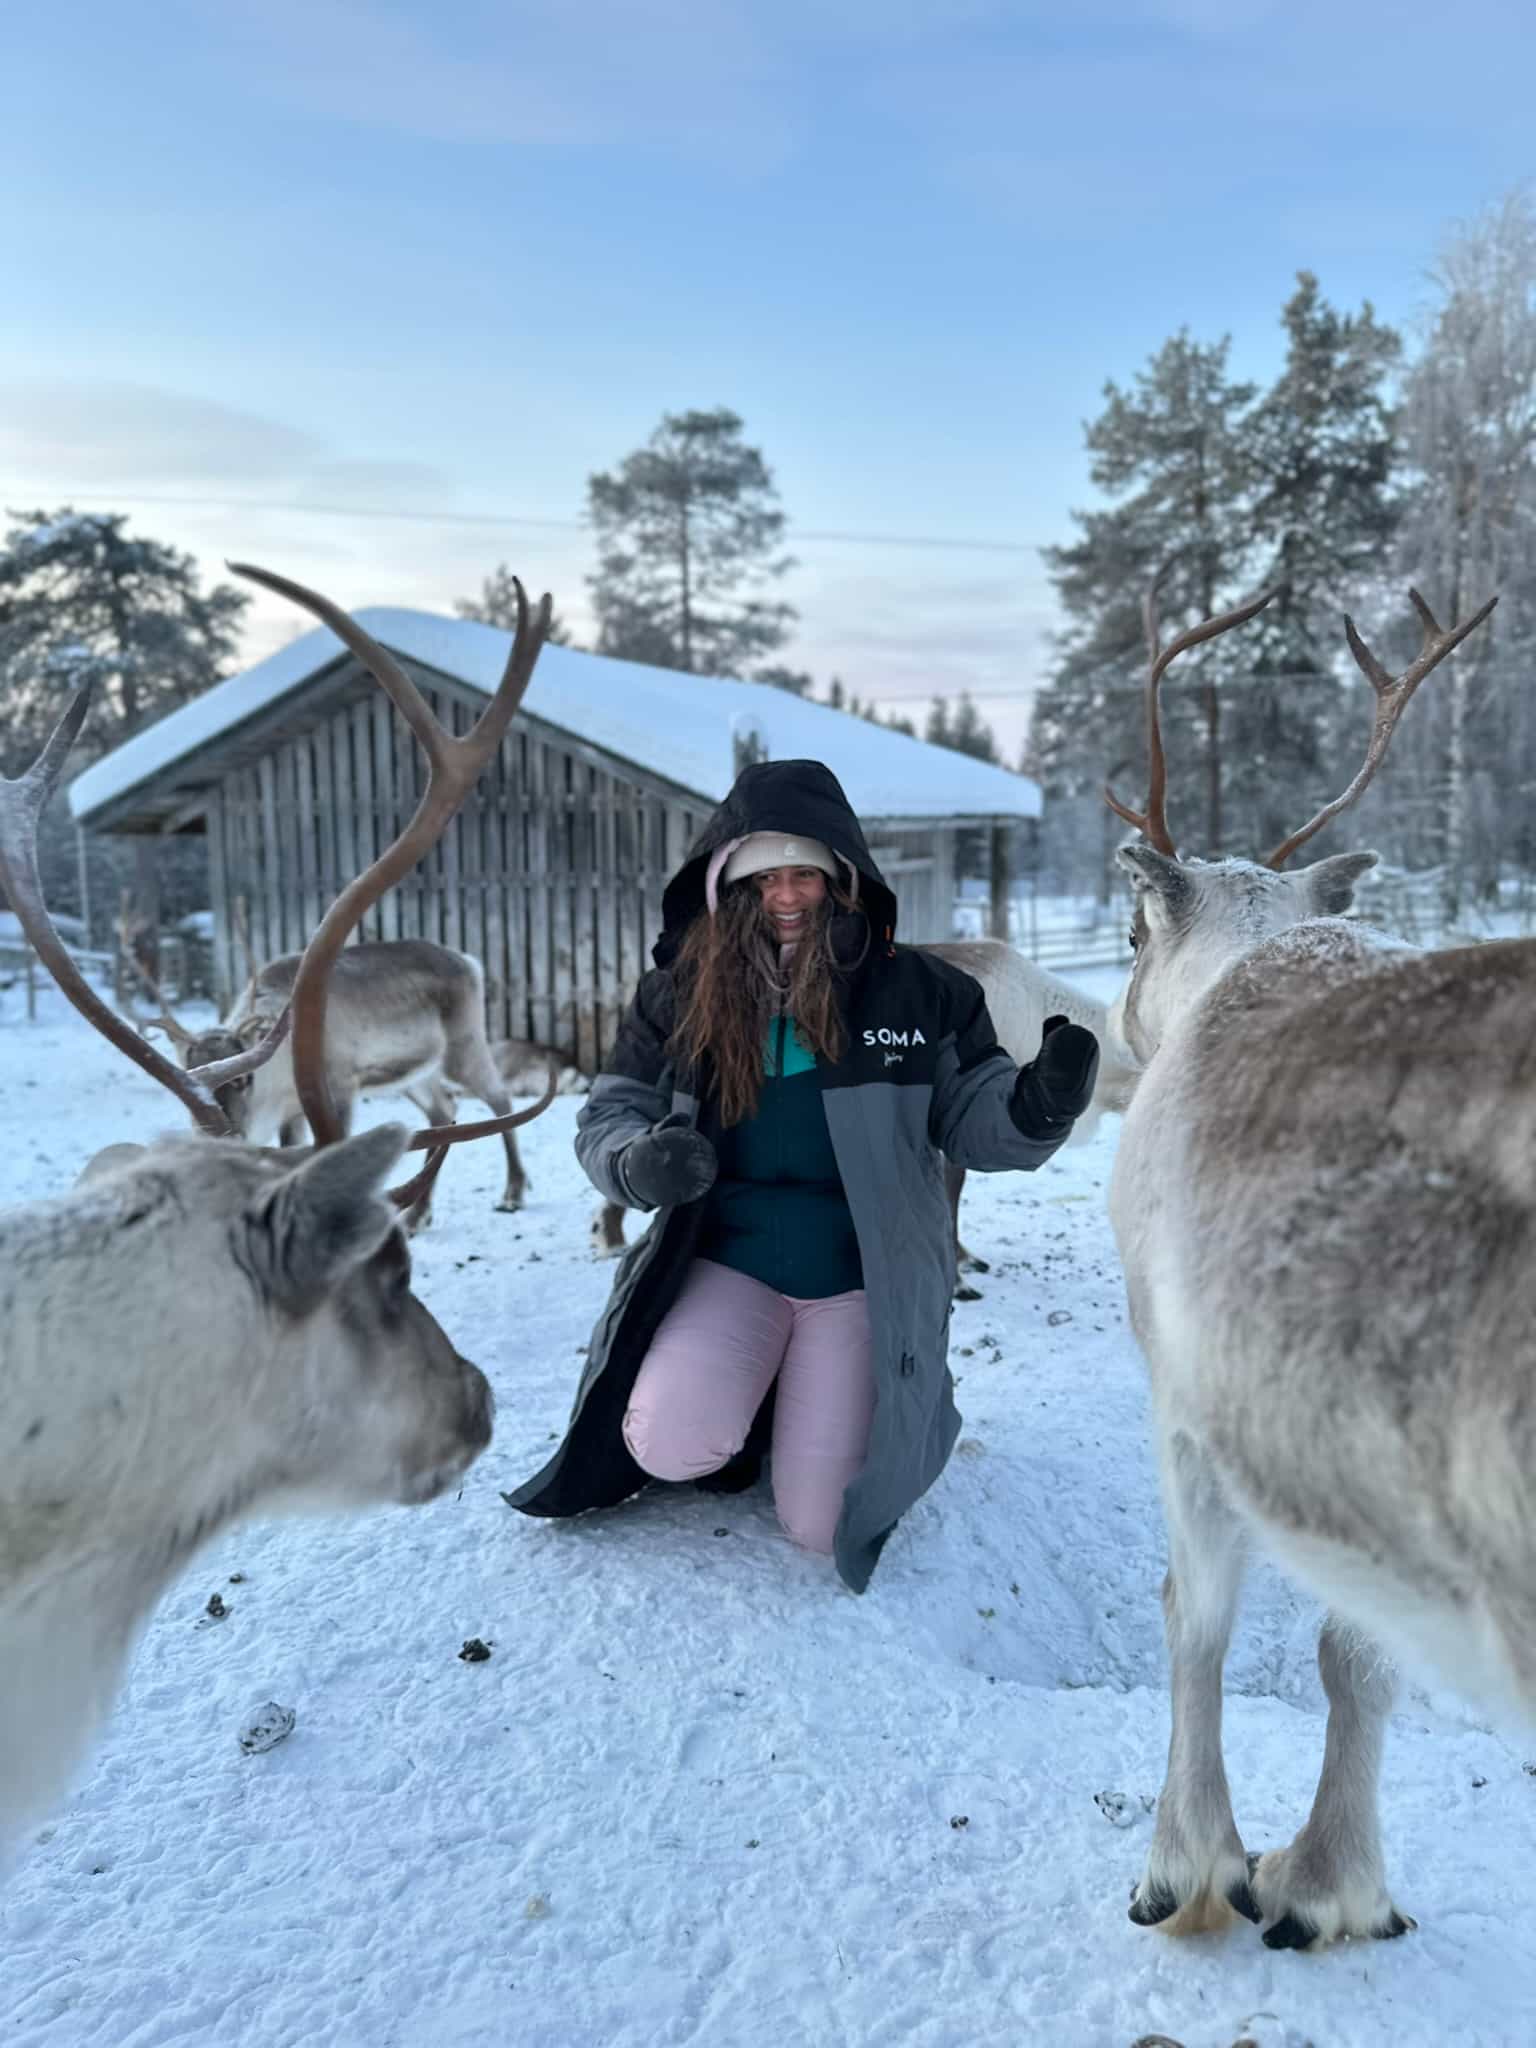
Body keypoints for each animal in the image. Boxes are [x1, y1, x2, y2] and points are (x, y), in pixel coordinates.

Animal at [0, 563, 557, 1868]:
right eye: (386, 1275)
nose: (478, 1398)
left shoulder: (334, 1084)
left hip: (456, 1042)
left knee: (488, 1103)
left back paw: (509, 1182)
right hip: (422, 1072)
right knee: (454, 1113)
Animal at [1102, 572, 1513, 1951]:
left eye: (1130, 933)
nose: (1113, 1013)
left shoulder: (1187, 1384)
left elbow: (1193, 1614)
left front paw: (1195, 1870)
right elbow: (1358, 1650)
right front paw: (1340, 1884)